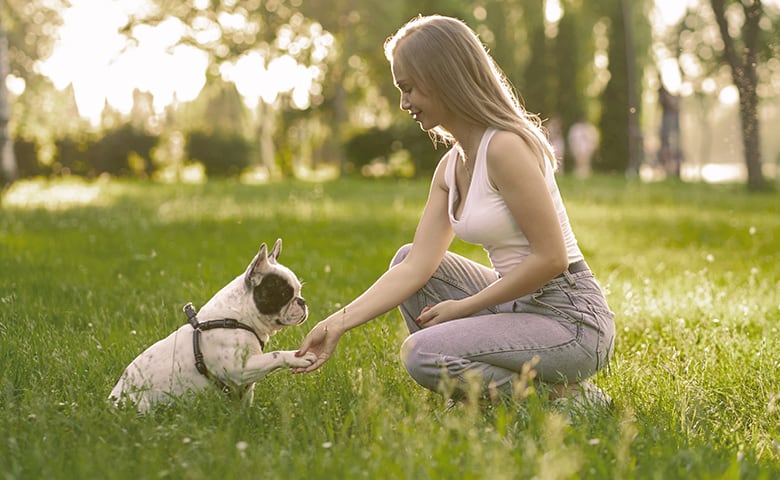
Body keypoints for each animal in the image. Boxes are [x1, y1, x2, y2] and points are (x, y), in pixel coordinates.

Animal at [109, 240, 316, 412]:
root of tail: (111, 403)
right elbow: (275, 355)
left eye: (299, 290)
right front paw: (298, 357)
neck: (237, 319)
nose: (302, 301)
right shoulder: (239, 369)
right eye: (284, 294)